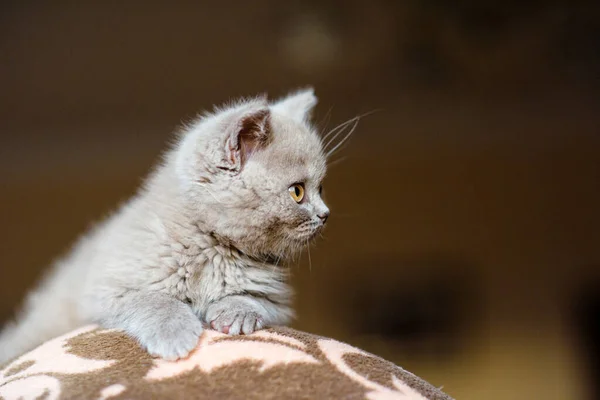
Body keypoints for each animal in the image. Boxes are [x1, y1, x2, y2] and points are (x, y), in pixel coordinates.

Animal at [0, 88, 332, 362]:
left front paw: (237, 312)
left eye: (321, 188)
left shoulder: (277, 303)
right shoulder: (105, 289)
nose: (325, 214)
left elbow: (256, 300)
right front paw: (174, 334)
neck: (212, 246)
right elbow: (153, 298)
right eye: (297, 192)